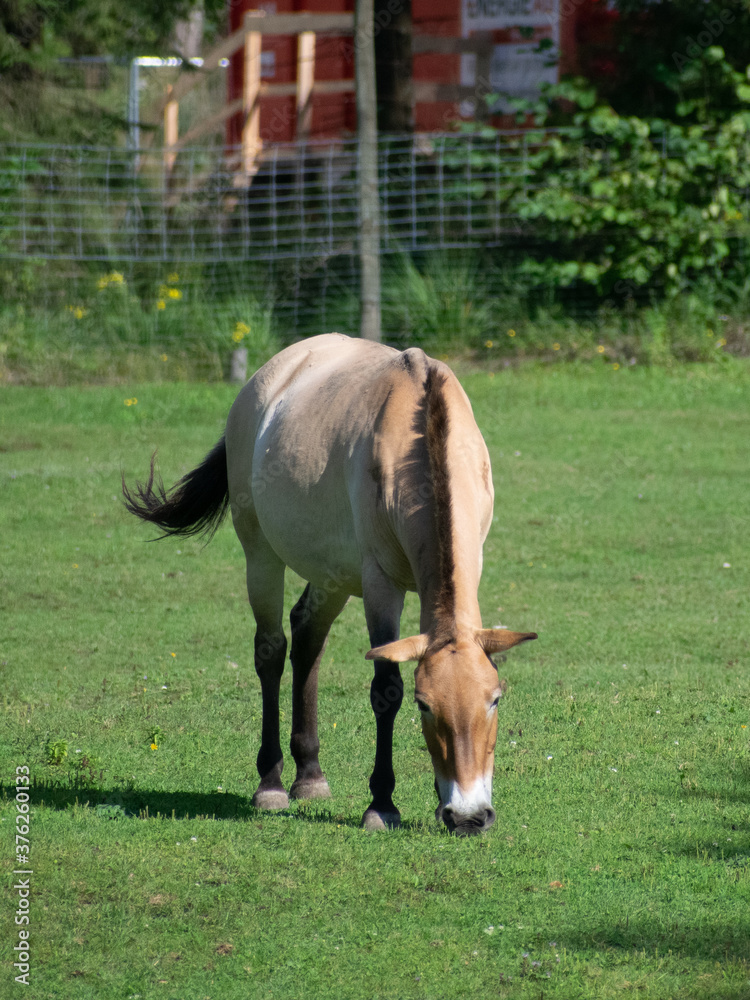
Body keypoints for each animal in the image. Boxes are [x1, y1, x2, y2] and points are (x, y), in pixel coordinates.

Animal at [123, 333, 536, 835]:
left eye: (494, 700)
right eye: (424, 705)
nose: (469, 815)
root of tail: (264, 380)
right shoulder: (380, 585)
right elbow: (385, 689)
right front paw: (382, 804)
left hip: (333, 577)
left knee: (307, 638)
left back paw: (310, 776)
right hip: (261, 555)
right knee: (271, 650)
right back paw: (272, 785)